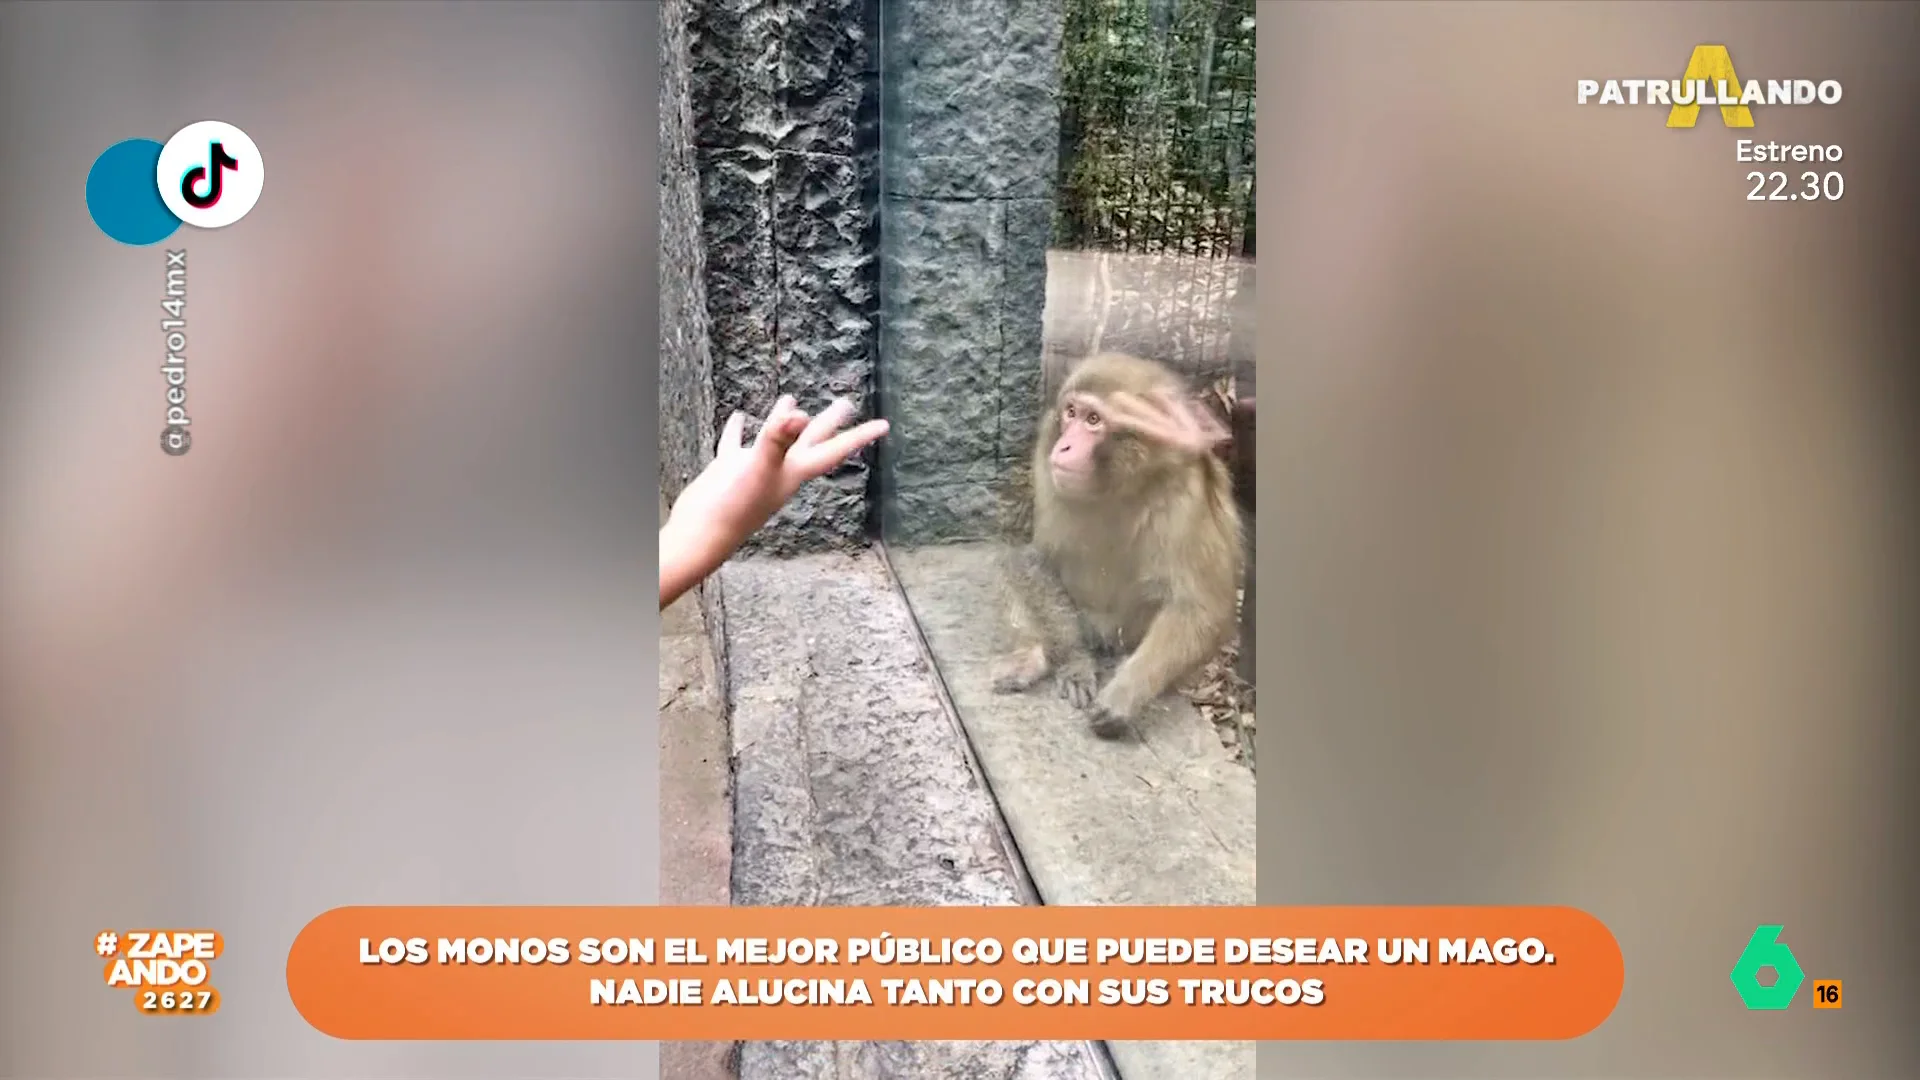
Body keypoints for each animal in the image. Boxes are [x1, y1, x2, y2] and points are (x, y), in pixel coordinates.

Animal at [990, 349, 1244, 734]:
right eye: (1071, 412)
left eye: (1094, 419)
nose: (1064, 446)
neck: (1119, 482)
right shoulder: (1043, 460)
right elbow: (1029, 558)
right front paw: (1076, 663)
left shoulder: (1187, 495)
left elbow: (1200, 607)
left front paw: (1125, 694)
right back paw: (1036, 655)